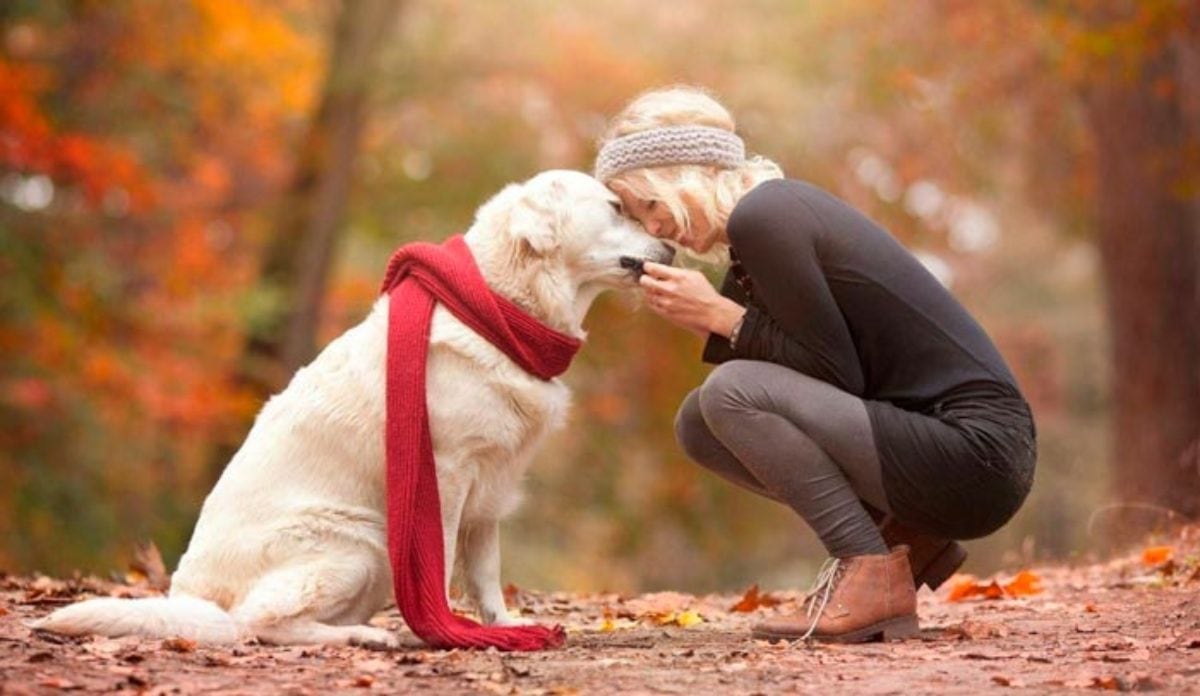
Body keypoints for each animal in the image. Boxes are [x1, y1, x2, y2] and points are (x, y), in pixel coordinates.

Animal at [32, 168, 676, 648]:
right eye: (616, 208)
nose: (671, 245)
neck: (499, 307)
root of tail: (190, 598)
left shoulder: (490, 487)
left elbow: (486, 571)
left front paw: (502, 626)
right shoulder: (445, 473)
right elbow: (441, 560)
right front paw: (446, 629)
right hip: (359, 543)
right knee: (257, 624)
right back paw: (366, 637)